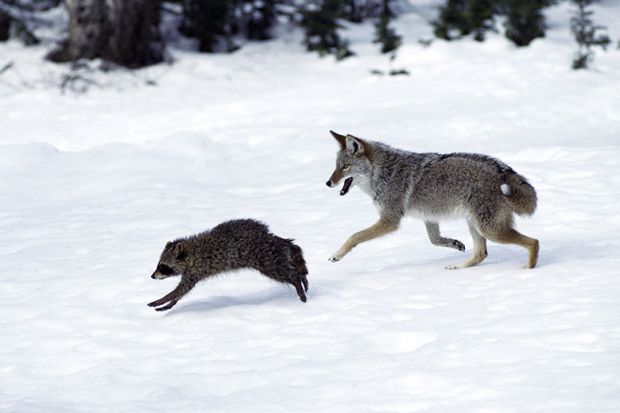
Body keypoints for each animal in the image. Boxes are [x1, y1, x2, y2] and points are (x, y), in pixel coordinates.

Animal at [148, 219, 308, 308]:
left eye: (162, 266)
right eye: (159, 264)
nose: (152, 276)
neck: (191, 253)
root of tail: (268, 235)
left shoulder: (196, 270)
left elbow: (182, 289)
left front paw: (163, 299)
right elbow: (181, 291)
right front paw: (171, 303)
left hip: (265, 259)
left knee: (284, 273)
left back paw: (297, 281)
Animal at [324, 130, 536, 268]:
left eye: (344, 167)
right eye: (336, 166)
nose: (328, 182)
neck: (383, 173)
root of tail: (503, 171)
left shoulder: (390, 221)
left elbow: (354, 236)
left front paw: (336, 255)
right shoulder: (429, 217)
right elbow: (435, 240)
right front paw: (455, 244)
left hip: (490, 230)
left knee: (534, 242)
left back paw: (529, 270)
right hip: (475, 225)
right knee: (481, 254)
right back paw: (458, 266)